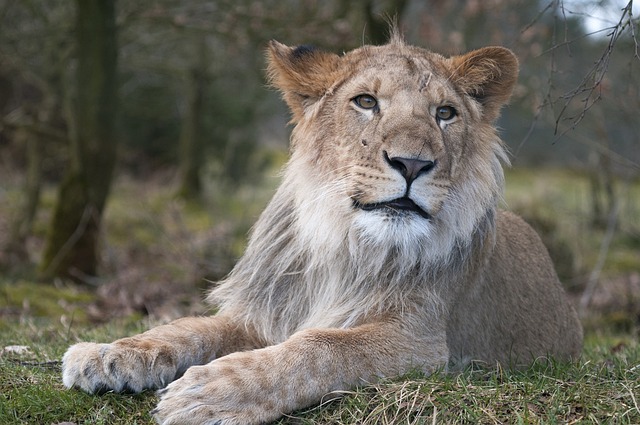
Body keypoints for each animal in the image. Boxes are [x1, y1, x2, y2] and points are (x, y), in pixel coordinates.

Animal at [62, 33, 584, 424]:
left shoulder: (422, 343)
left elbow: (323, 346)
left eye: (445, 113)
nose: (413, 163)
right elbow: (187, 328)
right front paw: (106, 354)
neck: (347, 245)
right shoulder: (263, 313)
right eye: (366, 102)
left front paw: (211, 391)